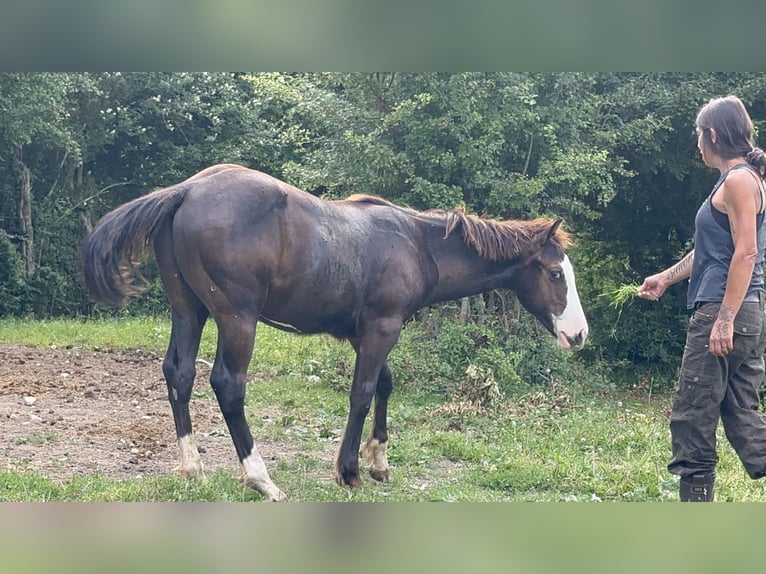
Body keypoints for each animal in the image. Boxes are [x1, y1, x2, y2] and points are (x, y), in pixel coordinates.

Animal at [80, 164, 588, 501]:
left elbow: (385, 384)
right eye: (554, 273)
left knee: (179, 374)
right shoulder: (383, 327)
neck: (417, 244)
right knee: (227, 384)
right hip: (236, 317)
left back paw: (192, 468)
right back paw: (261, 478)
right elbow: (362, 392)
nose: (579, 335)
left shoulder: (365, 332)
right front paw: (349, 471)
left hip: (189, 311)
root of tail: (187, 190)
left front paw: (379, 460)